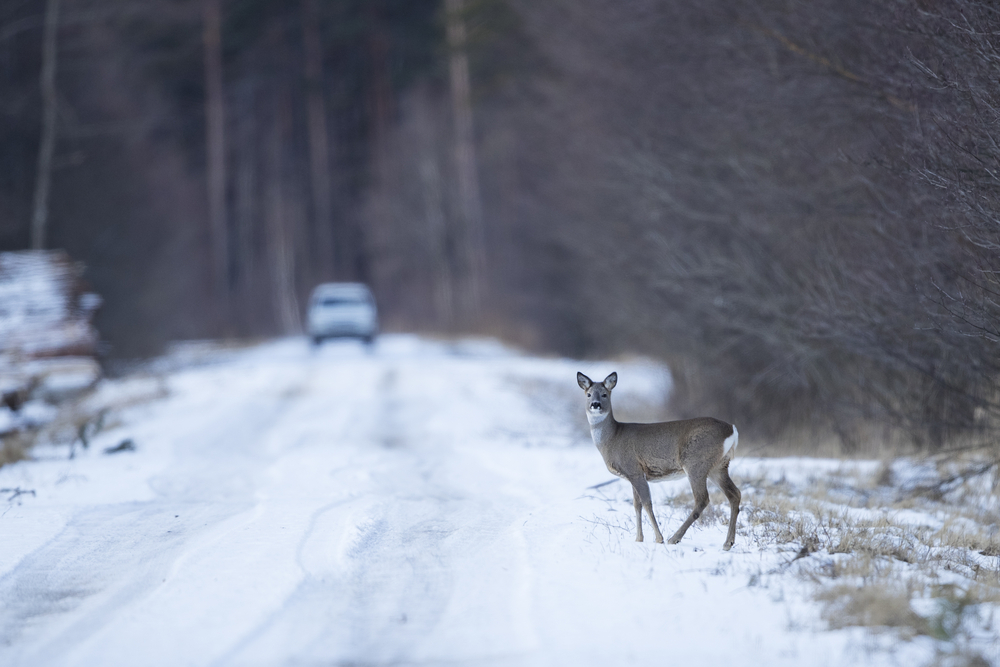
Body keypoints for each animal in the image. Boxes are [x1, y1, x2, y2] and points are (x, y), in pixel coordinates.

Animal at [577, 371, 741, 550]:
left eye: (605, 394)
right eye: (588, 394)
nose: (595, 404)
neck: (612, 438)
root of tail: (732, 429)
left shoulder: (633, 469)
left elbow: (647, 503)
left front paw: (658, 538)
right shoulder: (633, 475)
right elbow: (636, 505)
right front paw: (638, 539)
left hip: (695, 462)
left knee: (702, 499)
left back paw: (674, 538)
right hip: (718, 466)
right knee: (735, 494)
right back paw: (728, 543)